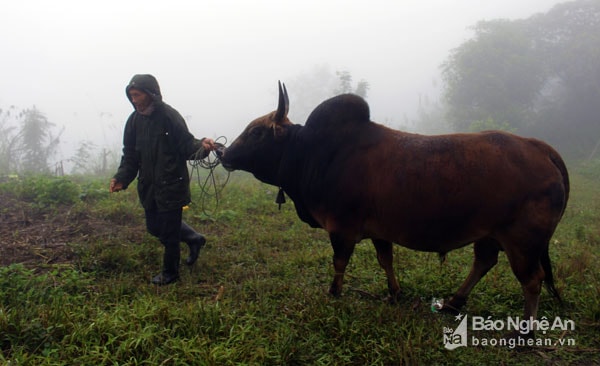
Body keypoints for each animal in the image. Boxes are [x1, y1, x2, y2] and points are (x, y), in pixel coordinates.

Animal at [218, 83, 568, 332]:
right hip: (491, 234)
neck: (314, 153)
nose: (224, 155)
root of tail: (541, 148)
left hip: (522, 240)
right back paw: (453, 303)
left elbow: (339, 263)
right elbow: (385, 260)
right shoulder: (378, 231)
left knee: (532, 279)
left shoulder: (341, 228)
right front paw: (394, 293)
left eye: (257, 132)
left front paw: (334, 292)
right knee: (484, 262)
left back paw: (524, 332)